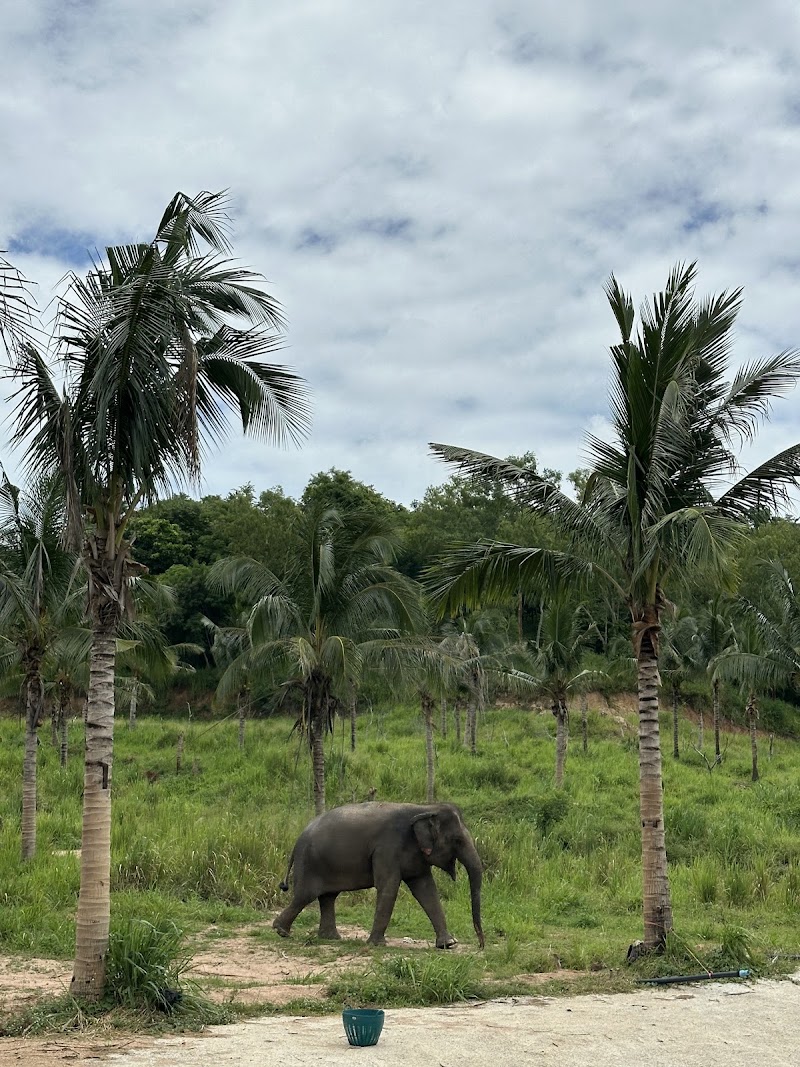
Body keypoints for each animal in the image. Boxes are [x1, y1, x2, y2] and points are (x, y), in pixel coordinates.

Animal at [273, 802, 485, 949]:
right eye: (457, 840)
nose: (481, 946)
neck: (425, 807)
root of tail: (299, 839)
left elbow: (426, 890)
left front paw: (448, 944)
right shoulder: (387, 849)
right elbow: (389, 887)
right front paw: (377, 945)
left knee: (328, 897)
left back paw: (330, 938)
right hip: (310, 863)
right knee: (305, 895)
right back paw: (281, 931)